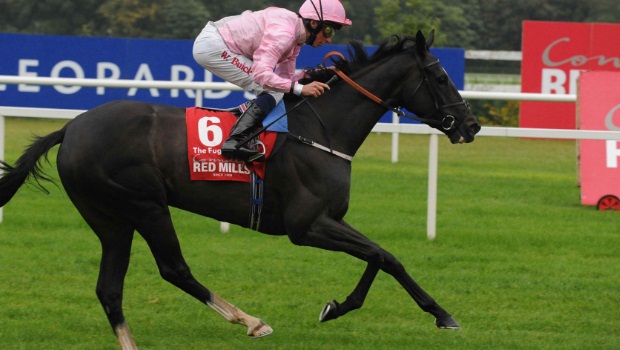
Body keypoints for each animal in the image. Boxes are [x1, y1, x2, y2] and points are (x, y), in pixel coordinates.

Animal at [0, 31, 480, 348]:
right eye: (439, 77)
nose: (472, 125)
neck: (321, 129)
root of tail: (70, 128)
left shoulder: (330, 220)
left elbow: (380, 257)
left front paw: (340, 306)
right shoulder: (307, 225)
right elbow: (386, 256)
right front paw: (440, 314)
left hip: (109, 218)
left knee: (109, 289)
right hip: (144, 205)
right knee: (173, 269)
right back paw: (250, 320)